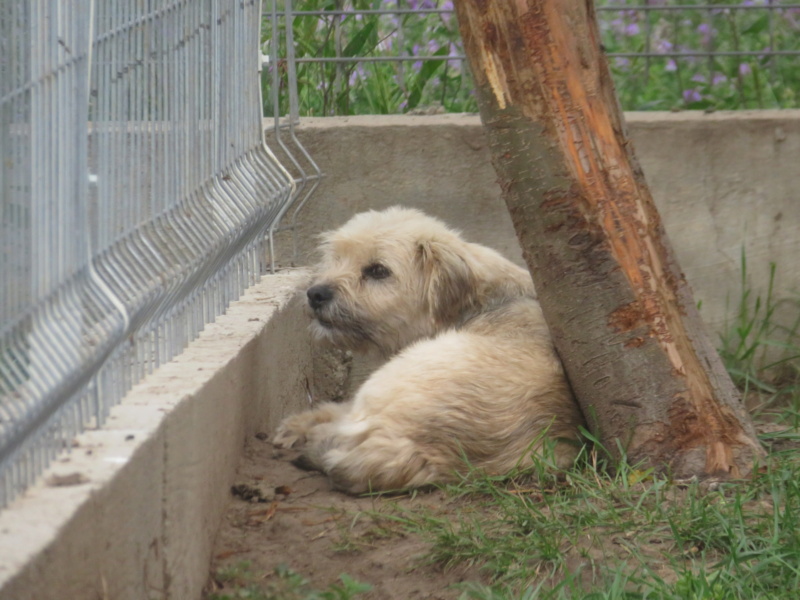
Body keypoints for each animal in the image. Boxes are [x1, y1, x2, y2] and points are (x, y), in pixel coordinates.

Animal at [272, 206, 584, 492]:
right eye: (337, 258)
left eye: (378, 271)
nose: (315, 294)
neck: (478, 303)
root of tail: (416, 447)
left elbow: (337, 409)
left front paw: (301, 424)